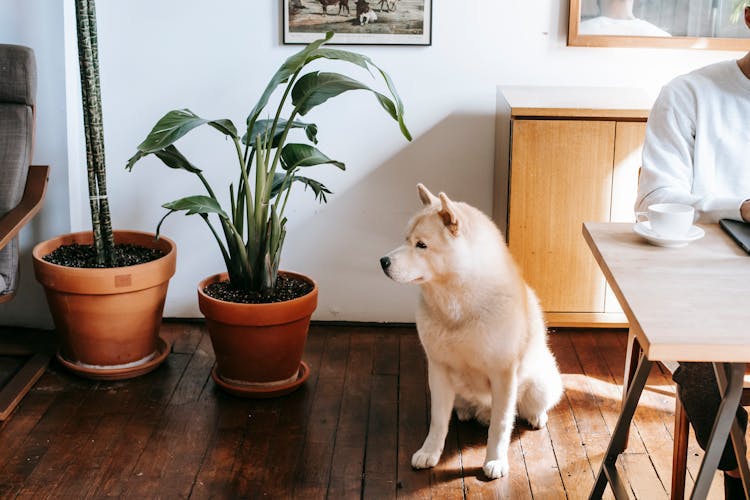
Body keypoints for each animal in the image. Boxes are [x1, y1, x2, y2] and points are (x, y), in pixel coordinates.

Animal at [382, 185, 564, 480]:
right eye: (406, 239)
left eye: (422, 245)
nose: (383, 261)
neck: (458, 308)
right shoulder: (438, 369)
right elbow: (438, 422)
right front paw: (430, 452)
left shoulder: (504, 374)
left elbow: (501, 424)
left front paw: (496, 460)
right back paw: (467, 412)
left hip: (540, 384)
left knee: (528, 408)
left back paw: (536, 416)